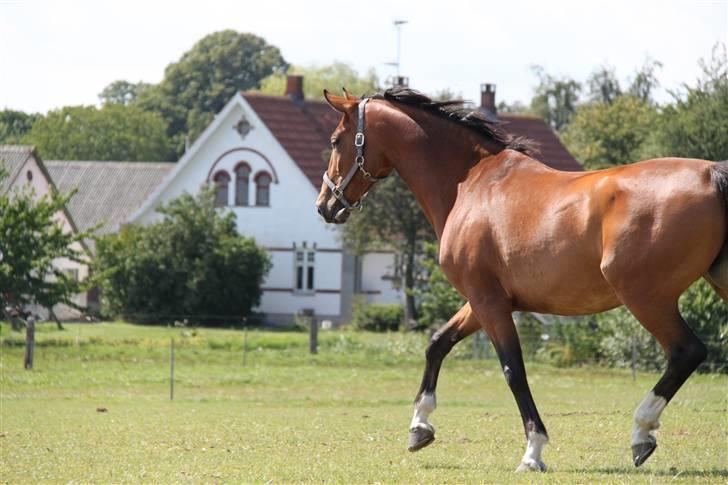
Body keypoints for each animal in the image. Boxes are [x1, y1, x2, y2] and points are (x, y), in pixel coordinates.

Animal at [318, 86, 728, 468]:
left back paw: (641, 433)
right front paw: (420, 427)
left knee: (686, 352)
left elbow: (513, 370)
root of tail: (711, 173)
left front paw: (534, 450)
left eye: (336, 140)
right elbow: (437, 343)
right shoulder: (483, 300)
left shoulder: (488, 302)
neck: (470, 183)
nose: (326, 204)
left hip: (646, 298)